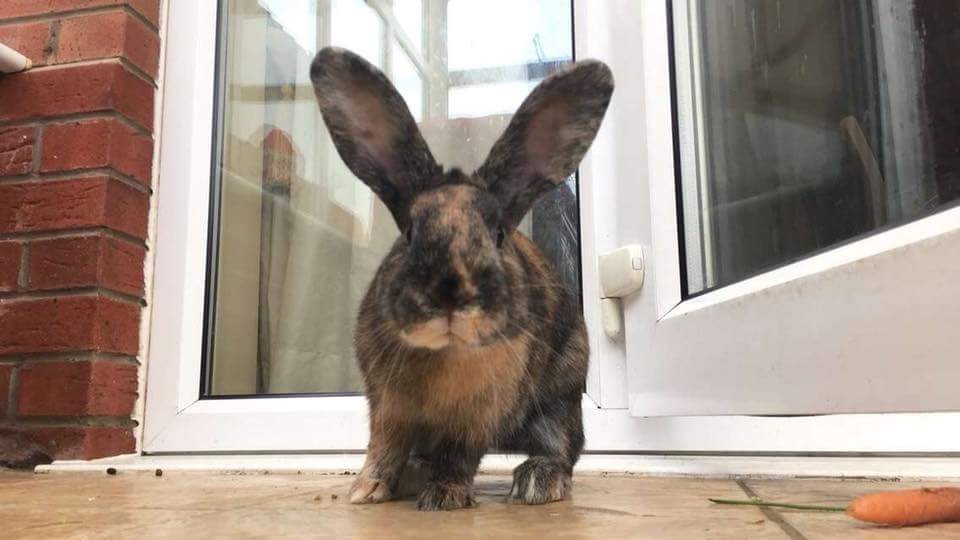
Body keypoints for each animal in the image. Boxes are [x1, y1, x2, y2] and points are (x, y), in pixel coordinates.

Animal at [310, 47, 613, 511]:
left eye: (498, 233)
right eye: (409, 232)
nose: (450, 296)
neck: (445, 354)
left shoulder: (477, 419)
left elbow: (458, 455)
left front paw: (445, 496)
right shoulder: (388, 407)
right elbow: (384, 446)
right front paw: (366, 490)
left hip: (559, 402)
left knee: (565, 448)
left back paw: (538, 481)